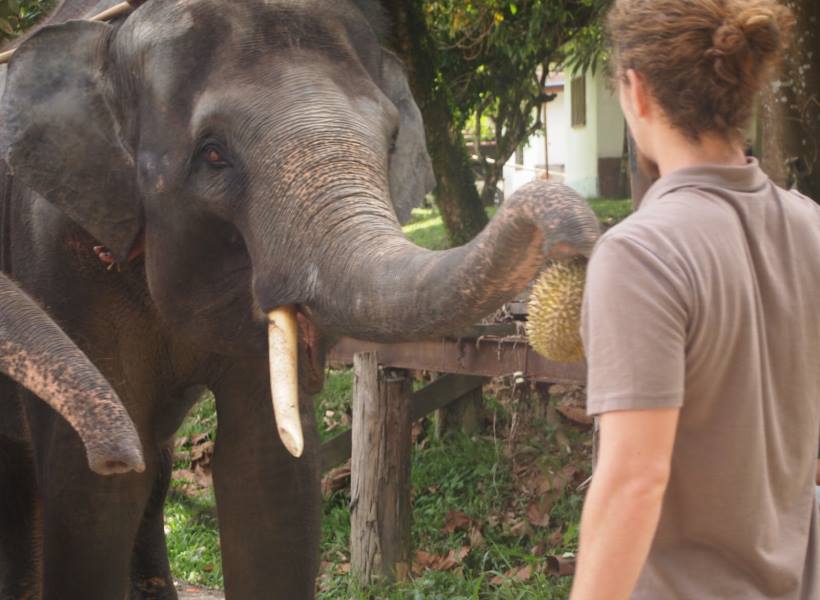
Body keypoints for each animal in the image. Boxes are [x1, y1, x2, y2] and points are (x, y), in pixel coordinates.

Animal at [0, 1, 604, 600]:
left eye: (391, 141)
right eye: (212, 154)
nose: (574, 240)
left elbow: (266, 473)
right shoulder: (58, 260)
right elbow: (94, 492)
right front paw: (111, 467)